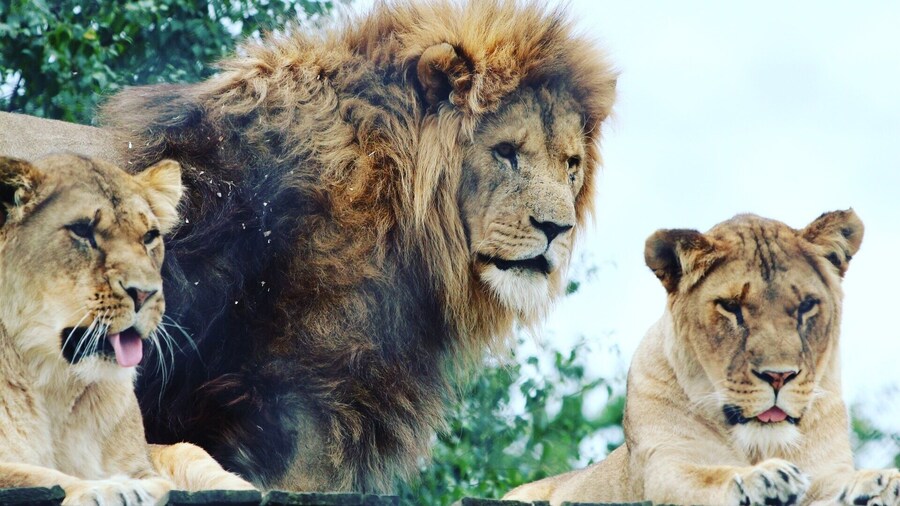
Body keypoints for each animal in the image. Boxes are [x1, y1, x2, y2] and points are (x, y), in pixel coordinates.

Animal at [0, 154, 255, 504]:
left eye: (149, 237)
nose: (145, 293)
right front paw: (116, 488)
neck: (57, 386)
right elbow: (36, 475)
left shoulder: (142, 462)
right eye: (82, 231)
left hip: (185, 451)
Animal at [503, 210, 900, 506]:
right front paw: (763, 478)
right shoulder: (664, 467)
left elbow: (837, 483)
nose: (779, 376)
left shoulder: (827, 471)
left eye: (805, 306)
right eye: (730, 307)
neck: (759, 445)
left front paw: (880, 483)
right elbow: (709, 474)